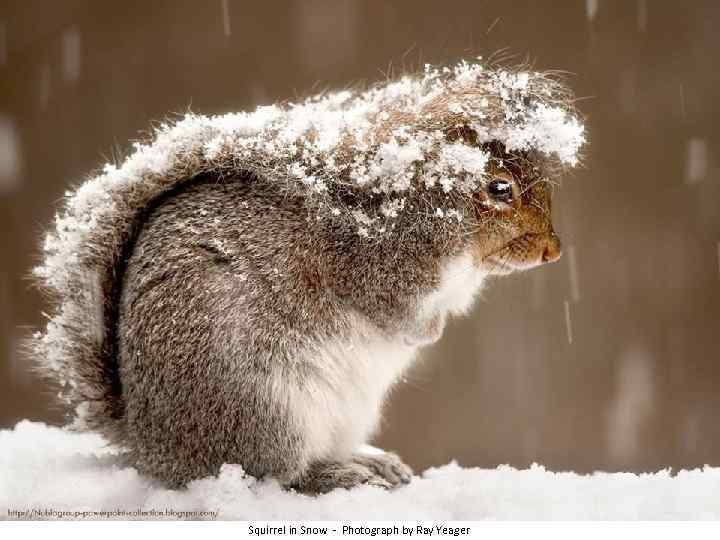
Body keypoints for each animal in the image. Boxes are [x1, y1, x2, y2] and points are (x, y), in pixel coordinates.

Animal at [31, 60, 588, 494]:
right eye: (500, 188)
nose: (553, 251)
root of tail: (153, 447)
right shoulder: (373, 267)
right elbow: (393, 311)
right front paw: (425, 333)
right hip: (265, 407)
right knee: (276, 473)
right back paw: (337, 476)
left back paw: (368, 461)